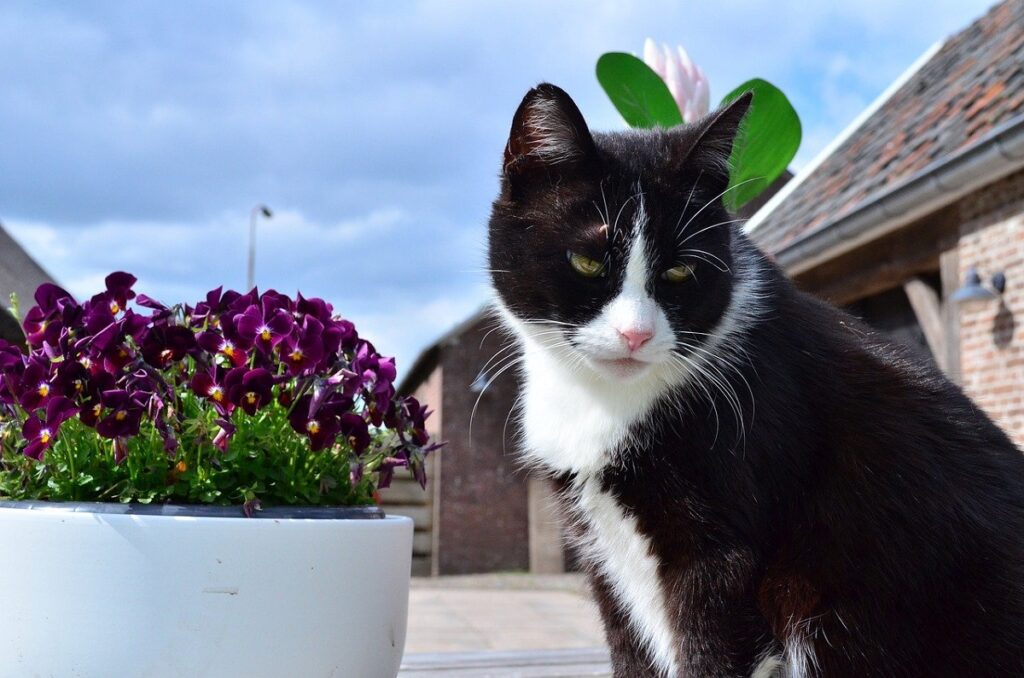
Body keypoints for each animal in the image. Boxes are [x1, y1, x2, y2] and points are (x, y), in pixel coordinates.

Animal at [485, 86, 1024, 678]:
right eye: (586, 261)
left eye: (679, 271)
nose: (635, 334)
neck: (608, 404)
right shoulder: (603, 552)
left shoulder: (723, 553)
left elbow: (708, 652)